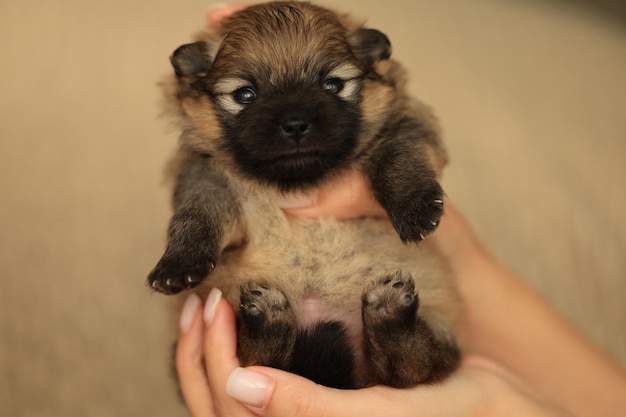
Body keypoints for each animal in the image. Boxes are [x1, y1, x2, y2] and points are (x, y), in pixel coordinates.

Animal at [146, 1, 458, 388]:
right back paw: (269, 320)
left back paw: (390, 316)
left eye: (333, 84)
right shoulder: (204, 174)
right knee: (260, 358)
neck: (297, 179)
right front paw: (178, 263)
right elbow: (196, 215)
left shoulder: (405, 124)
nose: (295, 124)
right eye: (244, 94)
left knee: (413, 365)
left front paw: (415, 208)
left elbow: (397, 159)